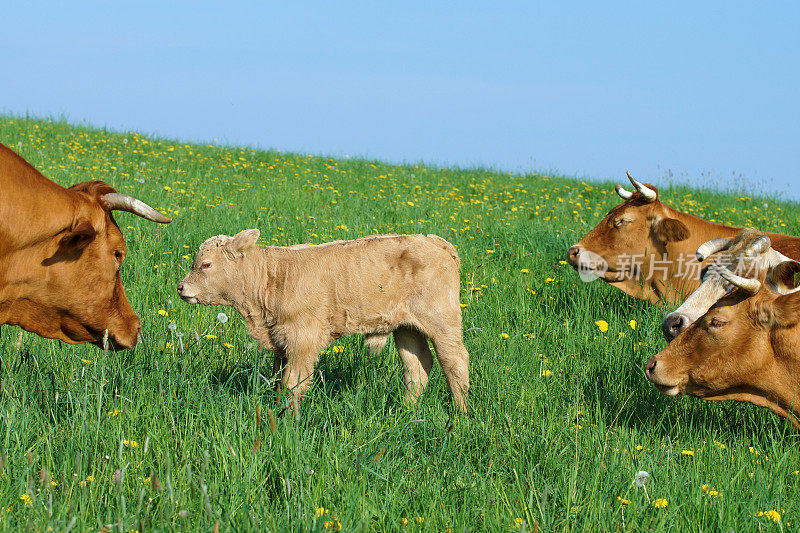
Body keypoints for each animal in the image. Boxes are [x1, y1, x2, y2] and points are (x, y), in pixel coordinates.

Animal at [177, 231, 468, 410]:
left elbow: (293, 384)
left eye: (205, 264)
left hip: (442, 320)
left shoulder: (302, 339)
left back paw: (460, 412)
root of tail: (436, 242)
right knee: (417, 366)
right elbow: (278, 382)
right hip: (406, 327)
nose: (180, 288)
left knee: (454, 361)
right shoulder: (280, 342)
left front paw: (287, 421)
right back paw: (405, 410)